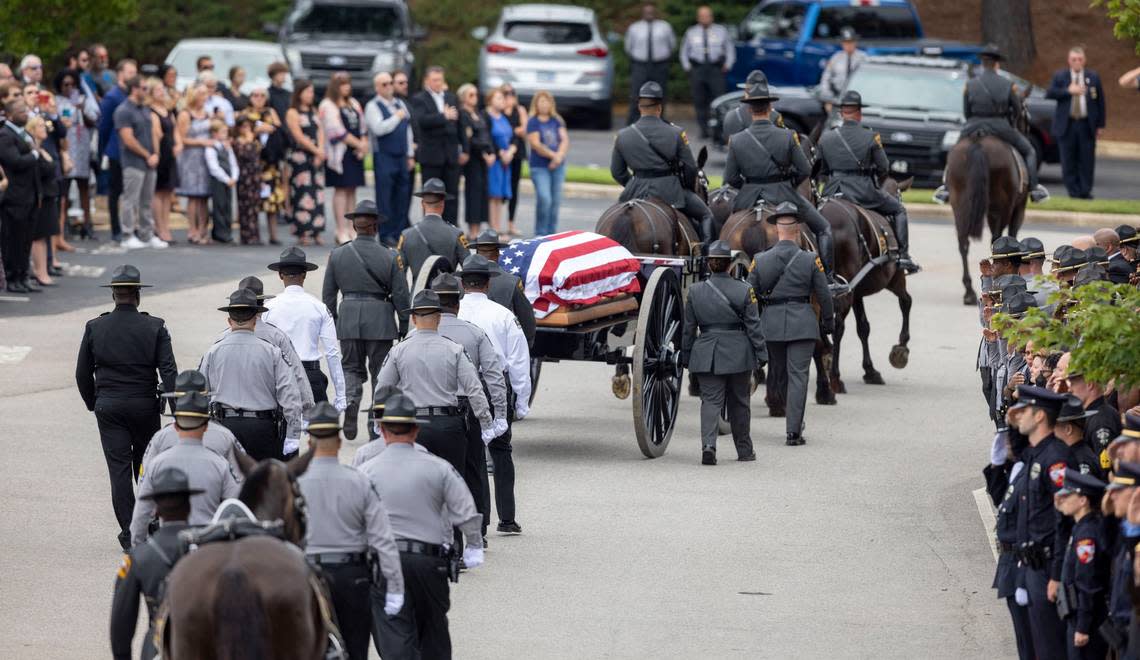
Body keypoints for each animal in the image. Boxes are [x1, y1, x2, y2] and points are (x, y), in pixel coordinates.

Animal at [820, 176, 916, 392]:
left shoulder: (857, 292)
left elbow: (863, 327)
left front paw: (870, 370)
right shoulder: (896, 279)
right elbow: (906, 302)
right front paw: (902, 347)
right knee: (838, 326)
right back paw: (835, 378)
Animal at [948, 136, 1030, 310]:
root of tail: (978, 140)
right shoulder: (1018, 209)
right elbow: (1011, 236)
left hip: (959, 205)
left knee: (963, 243)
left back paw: (969, 292)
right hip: (1000, 208)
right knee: (995, 239)